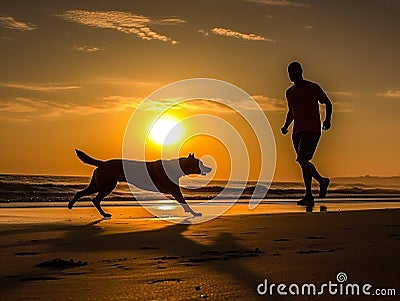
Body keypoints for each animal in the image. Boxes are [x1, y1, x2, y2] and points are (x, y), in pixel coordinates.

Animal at [68, 149, 212, 216]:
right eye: (200, 163)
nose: (210, 168)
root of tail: (102, 163)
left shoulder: (174, 191)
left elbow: (183, 203)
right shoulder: (175, 190)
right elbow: (184, 202)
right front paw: (194, 213)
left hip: (98, 184)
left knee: (83, 193)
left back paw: (71, 205)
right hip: (107, 185)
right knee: (95, 199)